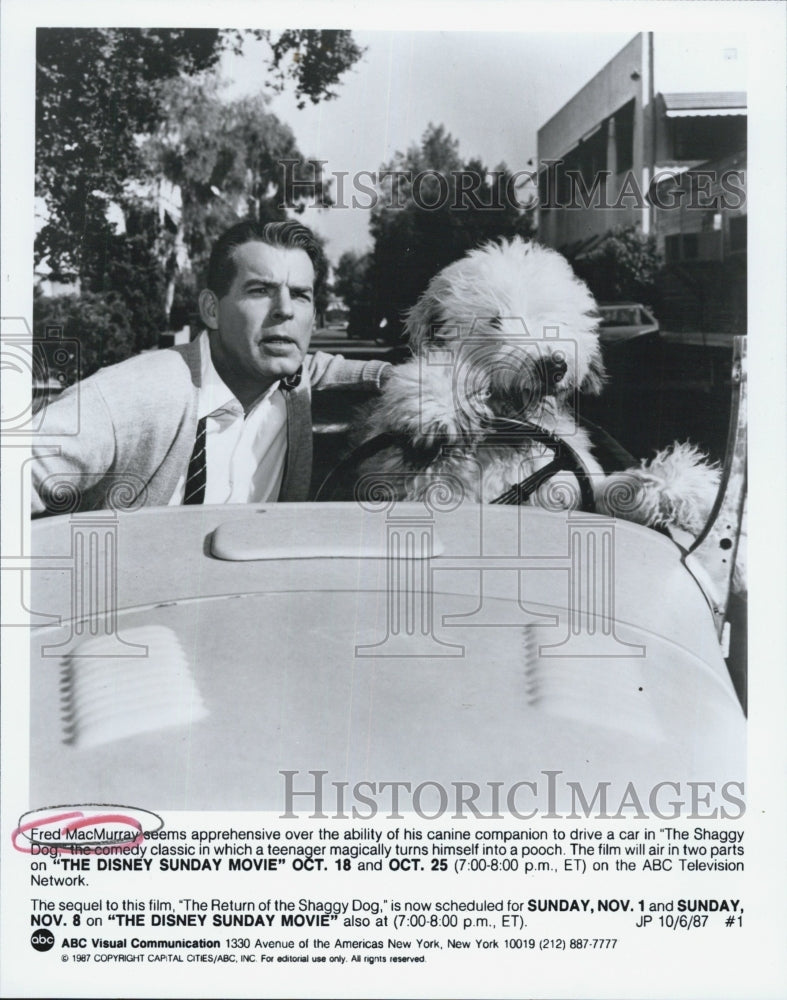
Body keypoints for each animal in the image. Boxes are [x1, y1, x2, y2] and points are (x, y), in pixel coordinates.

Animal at [350, 236, 720, 540]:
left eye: (558, 317)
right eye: (495, 320)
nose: (552, 365)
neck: (509, 436)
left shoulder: (572, 486)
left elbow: (613, 494)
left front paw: (679, 486)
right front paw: (438, 404)